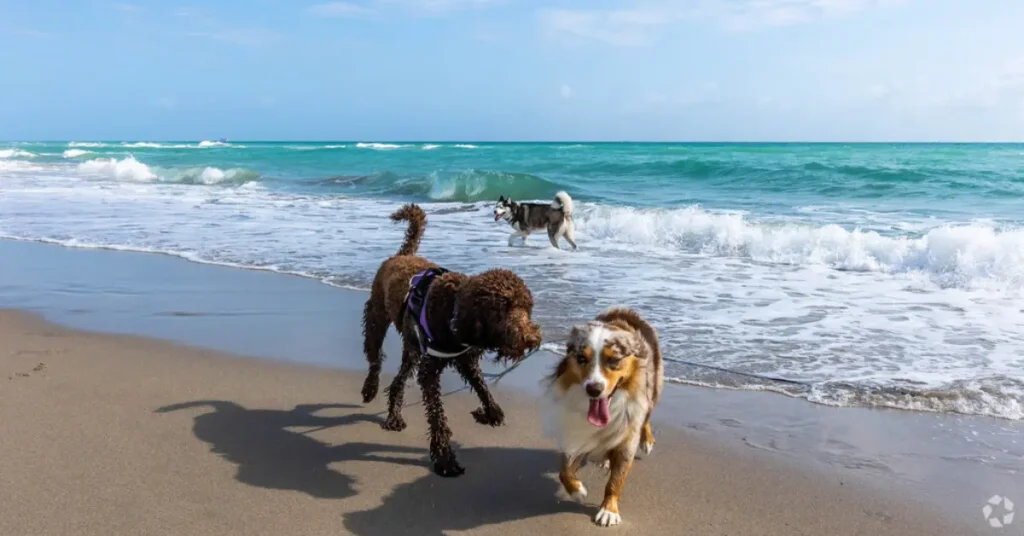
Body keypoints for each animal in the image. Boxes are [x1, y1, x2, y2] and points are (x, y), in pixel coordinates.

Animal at [358, 204, 540, 477]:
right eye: (502, 308)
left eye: (527, 308)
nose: (531, 339)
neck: (454, 309)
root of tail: (401, 255)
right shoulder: (430, 371)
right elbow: (437, 414)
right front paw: (444, 458)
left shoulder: (465, 359)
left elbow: (483, 388)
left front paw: (489, 413)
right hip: (376, 317)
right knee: (375, 357)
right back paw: (370, 388)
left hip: (412, 347)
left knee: (399, 380)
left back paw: (393, 416)